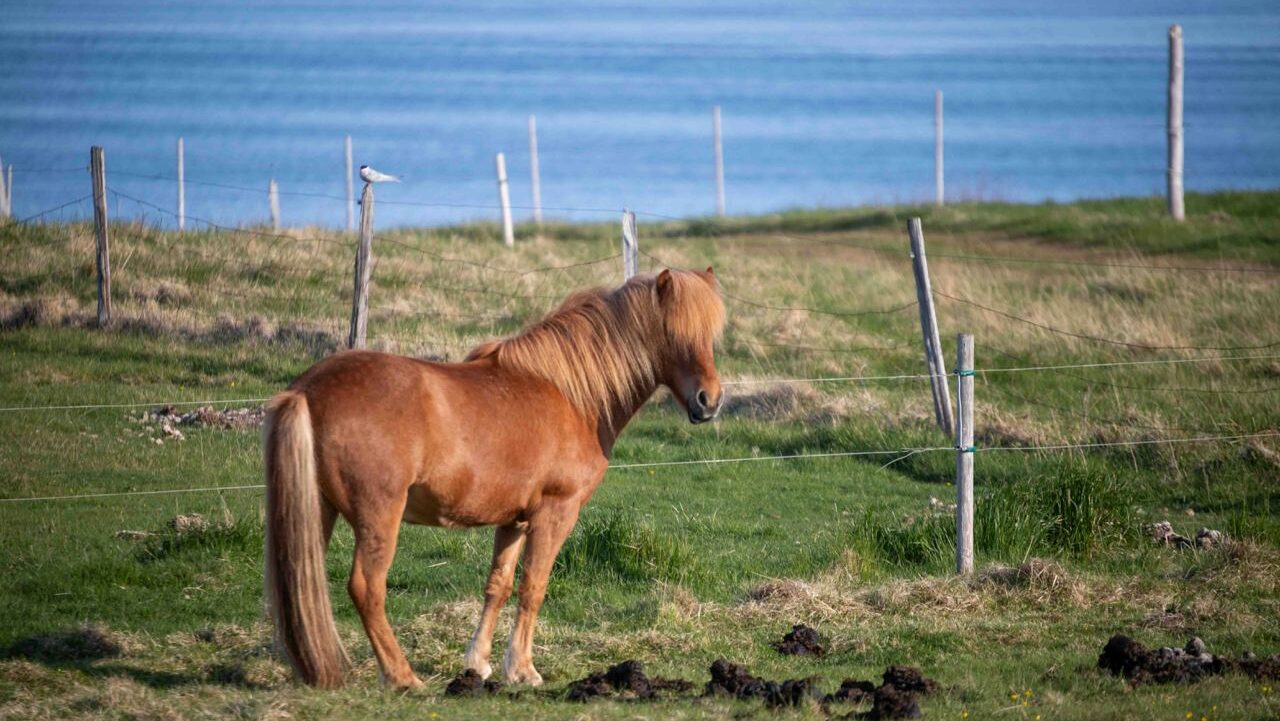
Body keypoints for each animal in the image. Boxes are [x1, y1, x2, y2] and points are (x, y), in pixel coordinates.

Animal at [263, 265, 727, 686]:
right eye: (674, 334)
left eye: (710, 336)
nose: (710, 401)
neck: (570, 394)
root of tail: (306, 390)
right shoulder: (555, 514)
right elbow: (534, 586)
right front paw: (522, 669)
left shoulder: (515, 520)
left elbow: (498, 585)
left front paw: (479, 664)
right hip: (379, 514)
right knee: (367, 588)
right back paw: (402, 677)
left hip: (317, 510)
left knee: (302, 583)